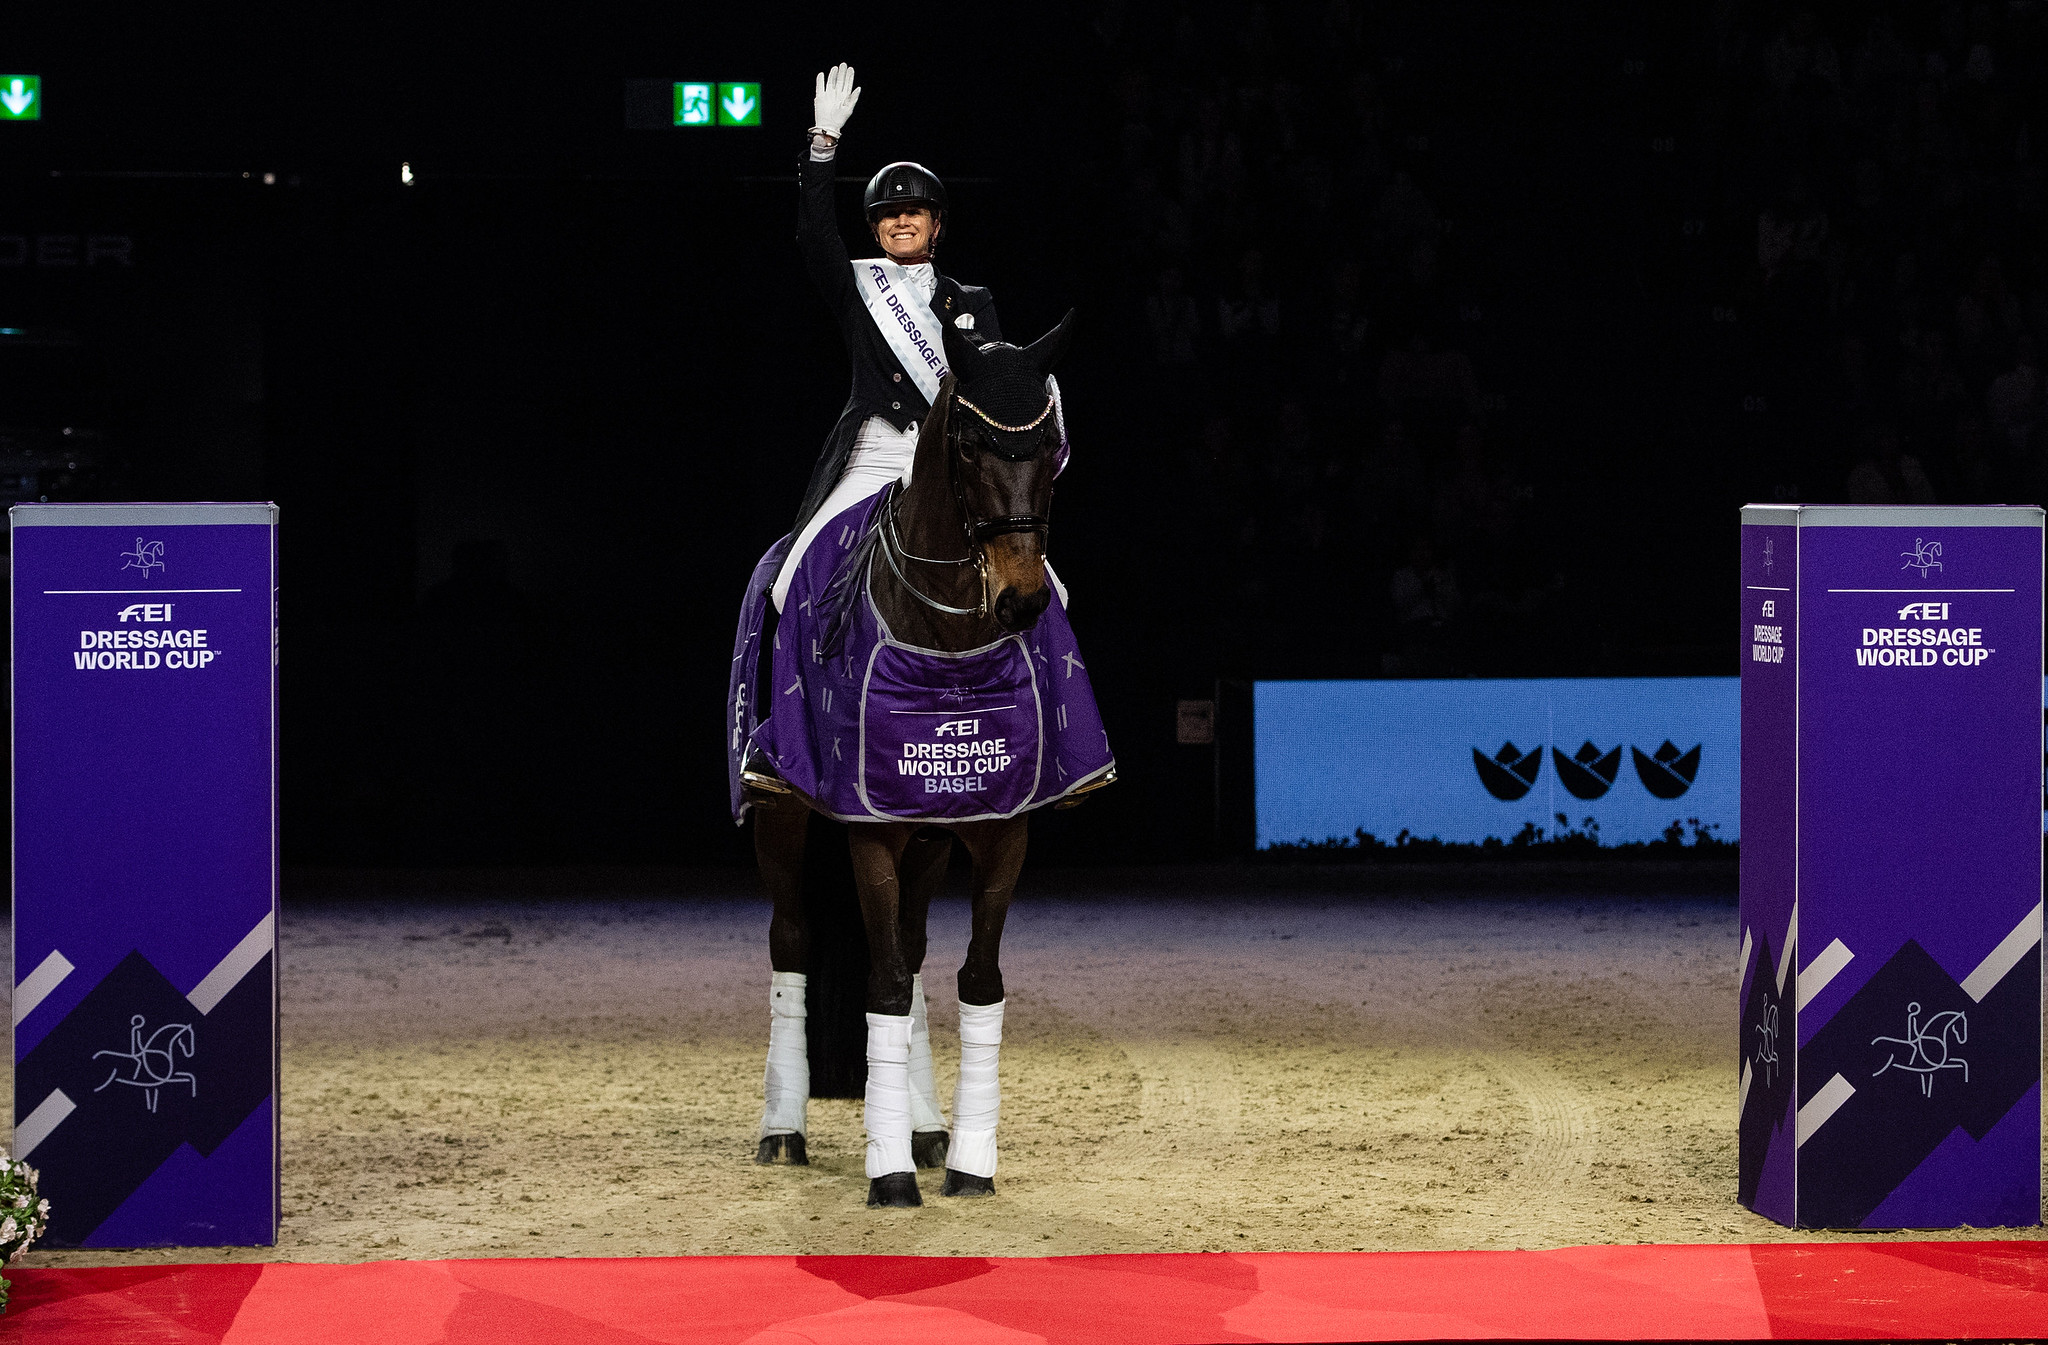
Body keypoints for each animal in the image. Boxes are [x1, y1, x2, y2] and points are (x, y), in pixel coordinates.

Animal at [749, 315, 1105, 1203]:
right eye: (973, 447)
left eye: (1051, 448)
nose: (1021, 598)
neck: (949, 641)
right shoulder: (870, 825)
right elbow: (876, 982)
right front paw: (888, 1173)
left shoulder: (998, 826)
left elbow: (972, 981)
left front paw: (969, 1158)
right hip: (781, 813)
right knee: (792, 940)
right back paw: (784, 1128)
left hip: (930, 836)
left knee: (908, 956)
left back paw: (925, 1124)